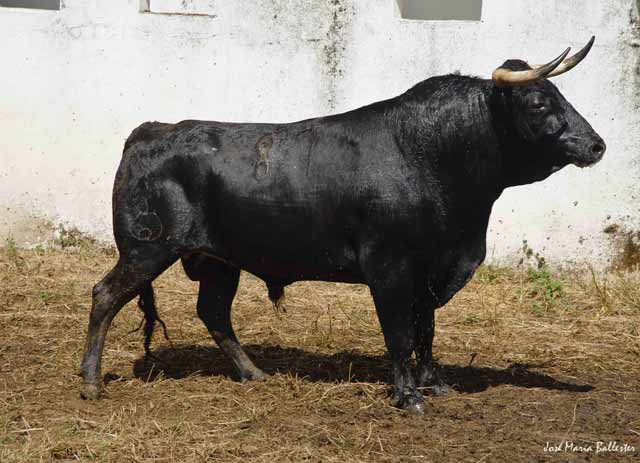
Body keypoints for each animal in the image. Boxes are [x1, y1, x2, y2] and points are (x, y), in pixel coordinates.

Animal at [80, 49, 604, 414]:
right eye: (538, 101)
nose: (596, 145)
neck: (432, 155)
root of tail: (153, 130)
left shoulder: (431, 270)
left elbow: (426, 330)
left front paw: (433, 383)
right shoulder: (390, 268)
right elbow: (398, 332)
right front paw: (408, 396)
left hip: (217, 262)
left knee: (213, 312)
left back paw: (254, 373)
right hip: (146, 249)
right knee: (106, 295)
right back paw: (90, 382)